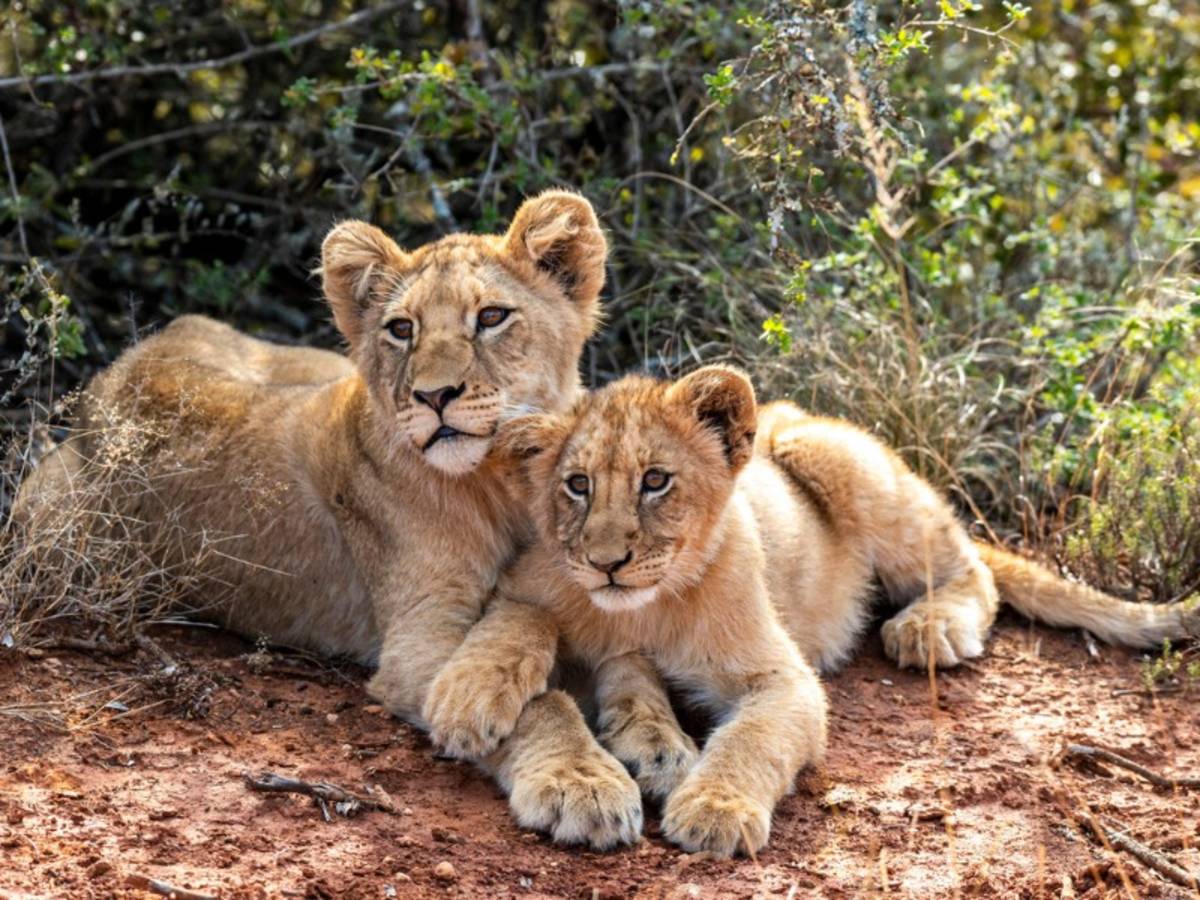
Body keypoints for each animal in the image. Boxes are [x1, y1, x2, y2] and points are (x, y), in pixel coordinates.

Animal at [12, 192, 644, 849]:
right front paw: (580, 778)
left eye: (492, 316)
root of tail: (118, 370)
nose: (433, 396)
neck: (503, 477)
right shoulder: (417, 641)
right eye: (402, 328)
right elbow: (541, 700)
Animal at [421, 364, 1200, 856]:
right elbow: (525, 623)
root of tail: (790, 416)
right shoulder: (528, 585)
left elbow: (751, 739)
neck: (640, 609)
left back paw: (927, 628)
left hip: (831, 456)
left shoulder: (786, 680)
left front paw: (714, 810)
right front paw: (468, 697)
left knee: (974, 569)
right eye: (577, 485)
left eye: (656, 481)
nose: (607, 560)